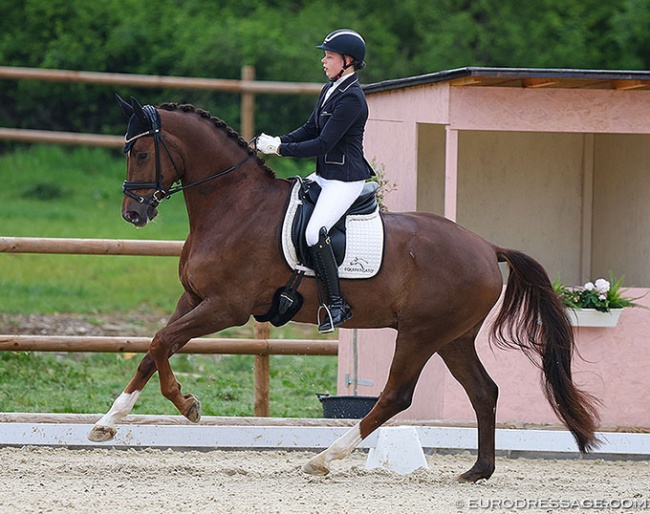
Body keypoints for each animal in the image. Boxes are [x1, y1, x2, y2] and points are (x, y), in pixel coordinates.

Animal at [87, 97, 596, 480]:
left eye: (141, 153)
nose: (133, 214)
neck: (234, 205)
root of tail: (487, 247)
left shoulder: (227, 307)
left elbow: (161, 342)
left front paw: (187, 405)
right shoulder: (193, 298)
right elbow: (153, 349)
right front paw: (107, 424)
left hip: (420, 334)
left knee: (396, 396)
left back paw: (323, 458)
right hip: (453, 338)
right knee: (483, 392)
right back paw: (477, 471)